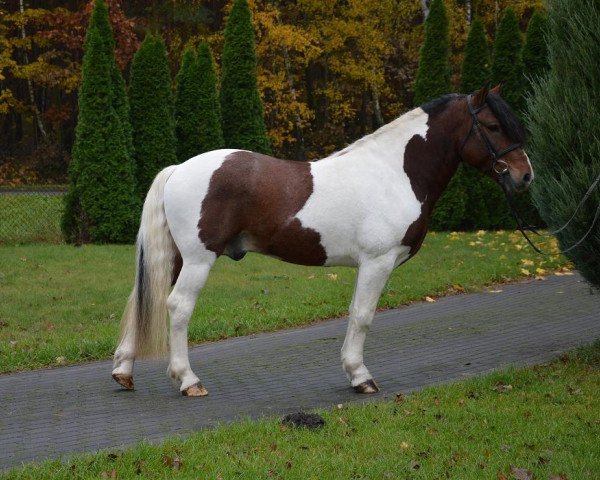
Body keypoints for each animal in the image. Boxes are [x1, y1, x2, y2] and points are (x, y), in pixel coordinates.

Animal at [112, 84, 536, 396]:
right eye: (493, 127)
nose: (524, 176)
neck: (394, 172)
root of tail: (179, 168)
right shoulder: (377, 262)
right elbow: (362, 315)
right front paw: (360, 376)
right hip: (199, 260)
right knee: (178, 307)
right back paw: (188, 380)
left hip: (176, 258)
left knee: (143, 299)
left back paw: (124, 370)